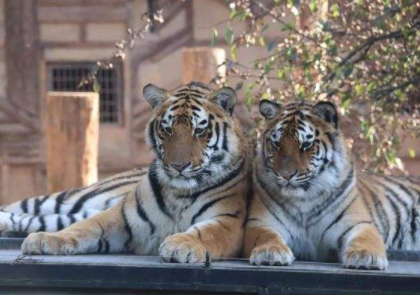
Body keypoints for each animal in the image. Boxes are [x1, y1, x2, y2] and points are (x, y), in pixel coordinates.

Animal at [0, 81, 253, 264]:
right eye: (167, 129)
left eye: (200, 130)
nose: (178, 166)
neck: (179, 193)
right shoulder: (120, 216)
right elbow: (84, 227)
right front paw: (45, 240)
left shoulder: (228, 222)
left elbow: (203, 232)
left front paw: (179, 245)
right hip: (70, 198)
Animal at [243, 100, 420, 272]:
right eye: (276, 144)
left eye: (306, 145)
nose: (286, 175)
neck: (304, 199)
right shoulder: (260, 223)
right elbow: (266, 236)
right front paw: (270, 252)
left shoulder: (359, 223)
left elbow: (365, 239)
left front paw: (365, 257)